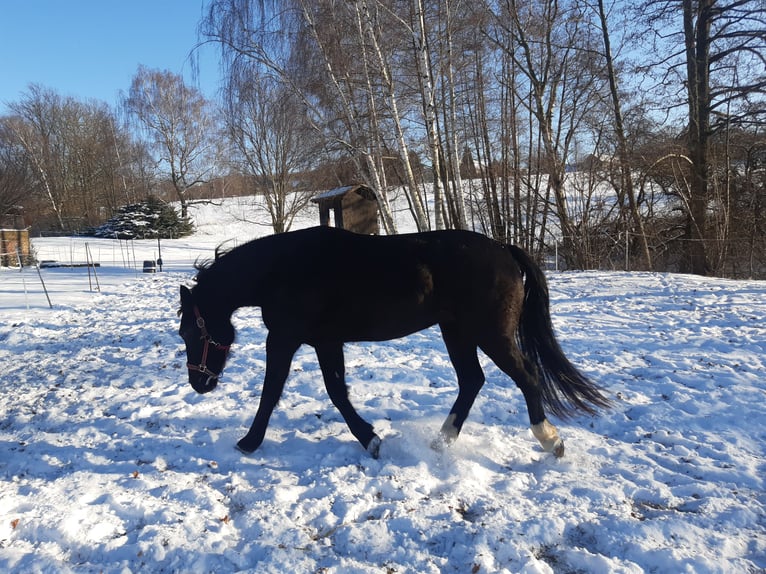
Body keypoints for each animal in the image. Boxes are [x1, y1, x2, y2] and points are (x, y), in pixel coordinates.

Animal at [178, 226, 609, 459]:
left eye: (189, 332)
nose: (199, 383)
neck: (280, 270)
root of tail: (504, 249)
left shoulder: (285, 340)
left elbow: (274, 393)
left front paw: (249, 442)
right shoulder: (325, 342)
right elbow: (337, 391)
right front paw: (370, 439)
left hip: (490, 334)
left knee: (527, 376)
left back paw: (550, 440)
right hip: (456, 333)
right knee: (472, 381)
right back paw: (440, 442)